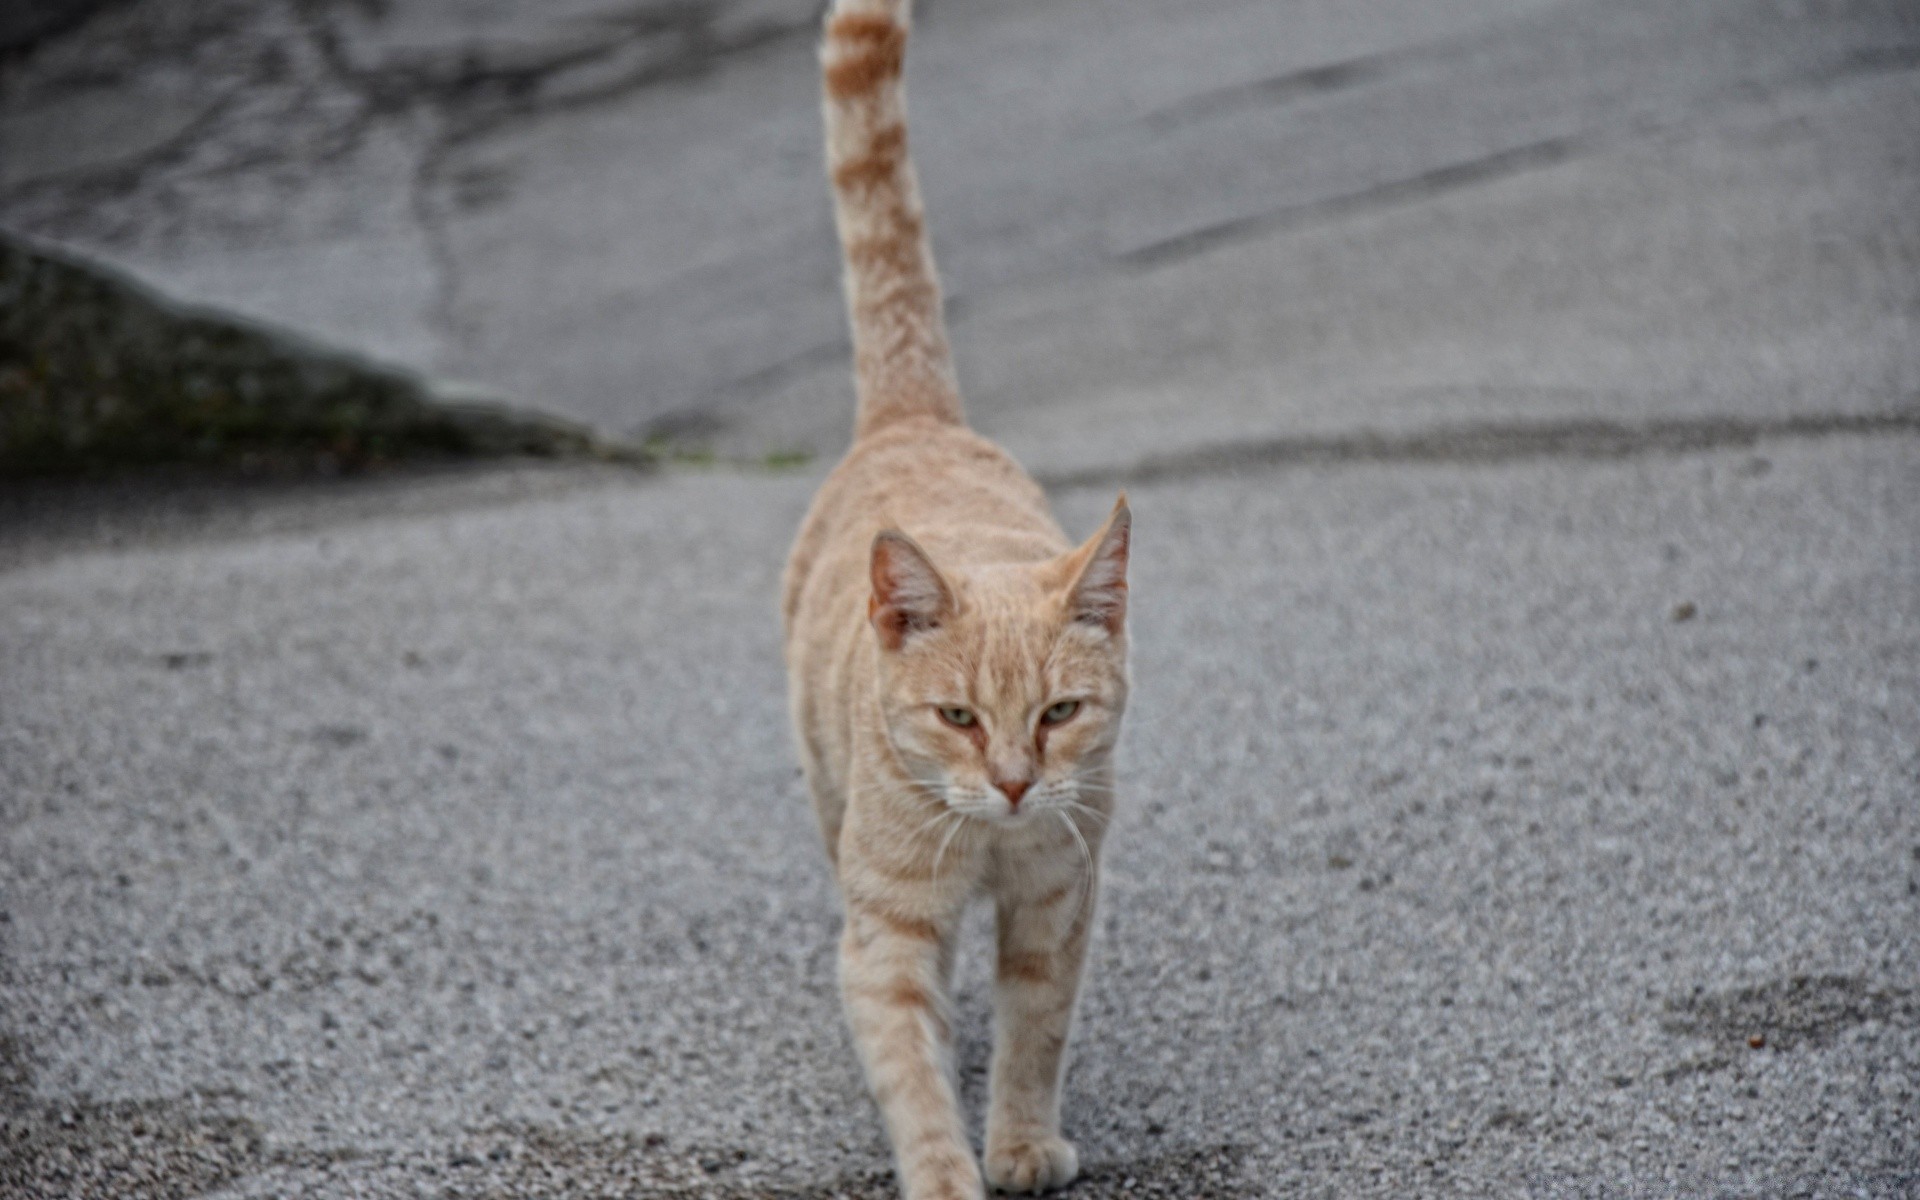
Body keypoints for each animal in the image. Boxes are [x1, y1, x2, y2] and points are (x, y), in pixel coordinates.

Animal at [779, 2, 1128, 1198]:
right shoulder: (887, 932)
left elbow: (1036, 1034)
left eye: (1059, 714)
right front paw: (946, 1172)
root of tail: (912, 418)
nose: (1017, 784)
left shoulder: (1057, 904)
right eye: (959, 717)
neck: (985, 850)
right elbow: (912, 1072)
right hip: (825, 796)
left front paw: (1017, 1143)